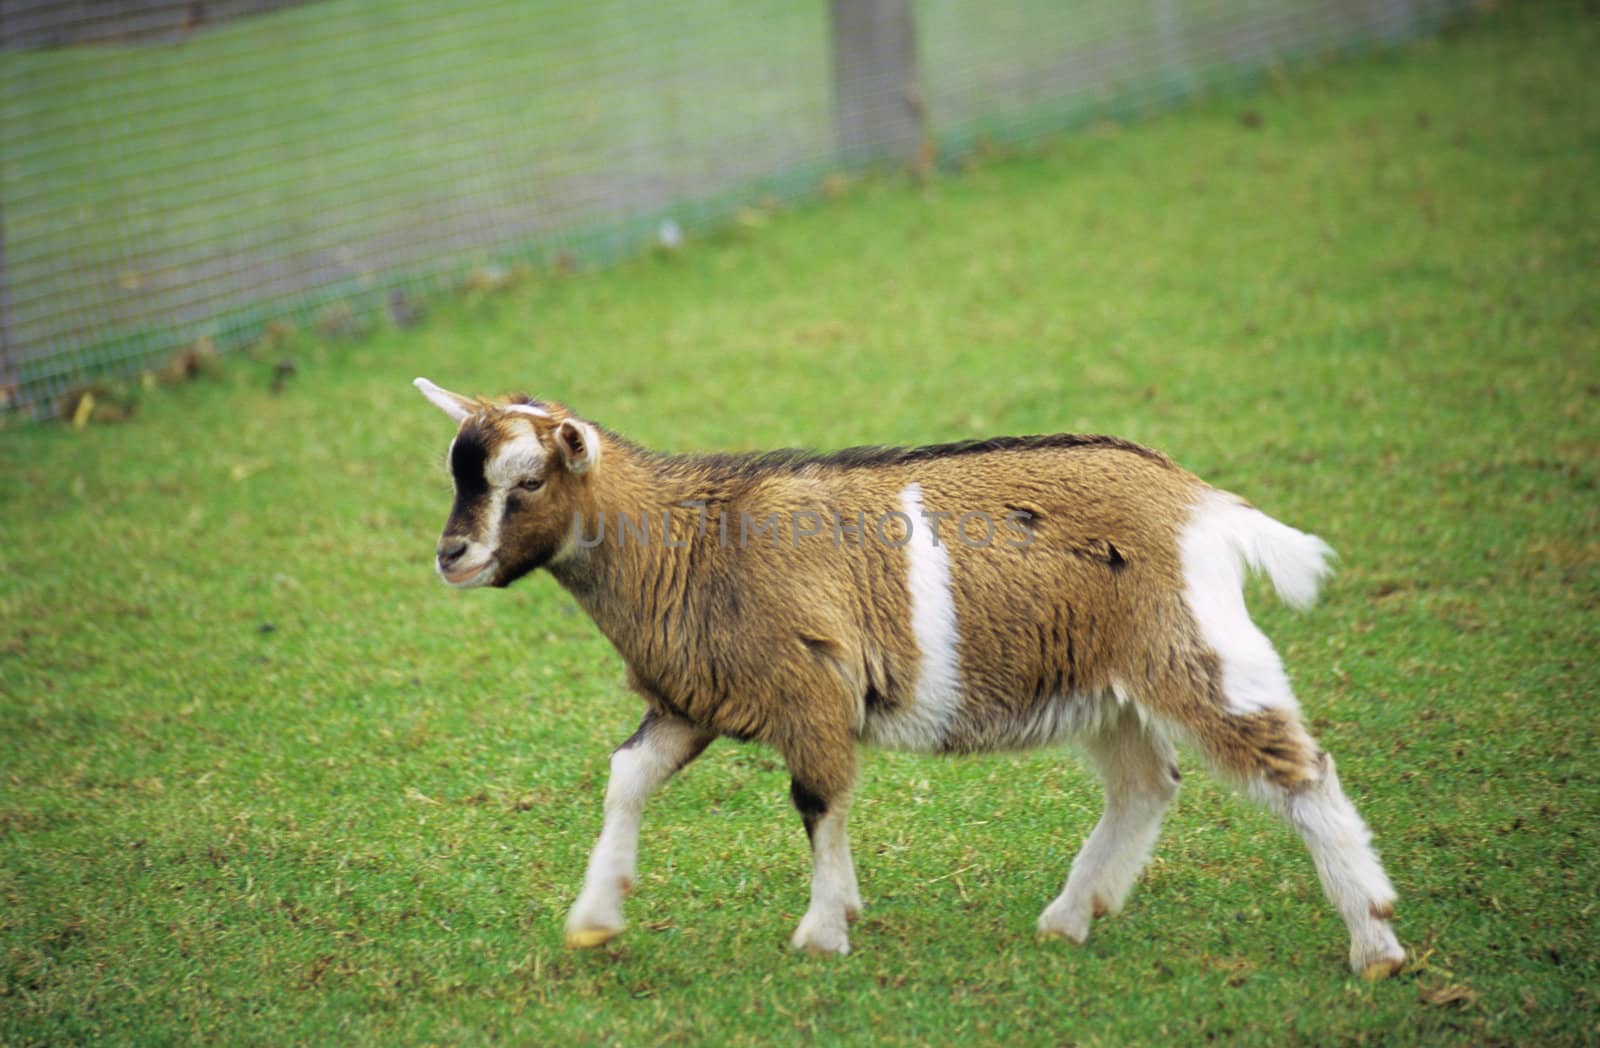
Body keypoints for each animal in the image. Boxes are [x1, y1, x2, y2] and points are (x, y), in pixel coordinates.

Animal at [419, 377, 1408, 972]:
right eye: (461, 473)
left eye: (529, 481)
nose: (452, 556)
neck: (693, 541)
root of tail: (1201, 501)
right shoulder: (692, 697)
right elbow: (627, 777)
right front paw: (595, 916)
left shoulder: (810, 689)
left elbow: (818, 800)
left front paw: (823, 931)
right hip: (1106, 685)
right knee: (1145, 783)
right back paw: (1070, 914)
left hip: (1194, 649)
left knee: (1299, 772)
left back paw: (1375, 943)